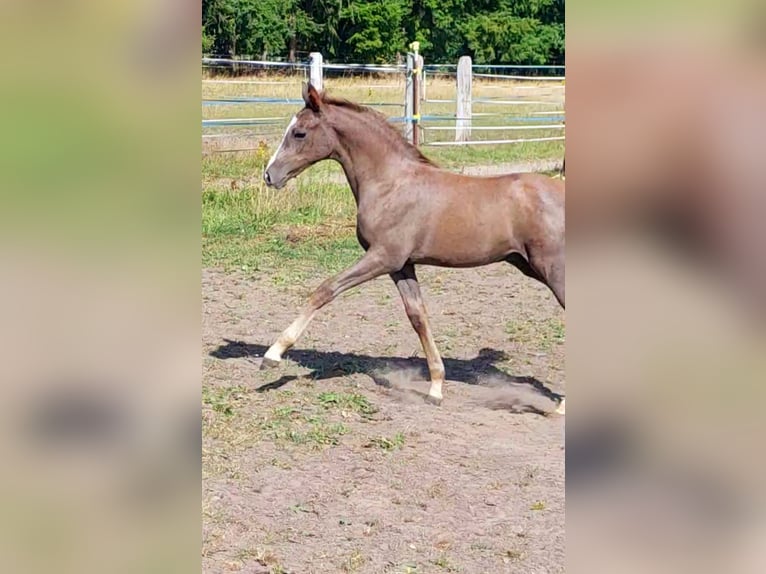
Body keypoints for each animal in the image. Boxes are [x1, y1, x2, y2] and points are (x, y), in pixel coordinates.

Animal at [262, 83, 565, 413]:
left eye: (299, 133)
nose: (269, 175)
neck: (390, 183)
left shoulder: (383, 256)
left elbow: (325, 290)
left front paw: (273, 354)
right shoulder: (402, 265)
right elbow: (417, 315)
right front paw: (435, 387)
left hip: (553, 269)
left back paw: (561, 404)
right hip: (527, 265)